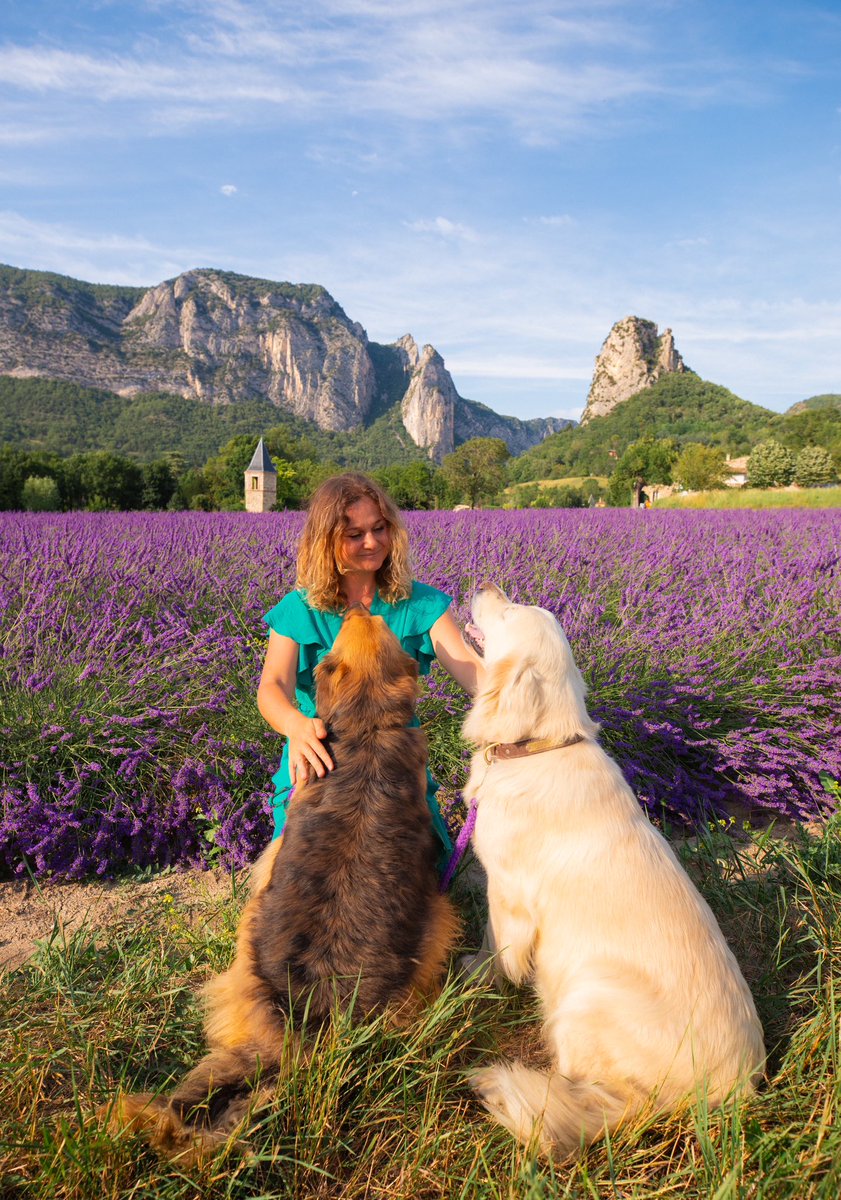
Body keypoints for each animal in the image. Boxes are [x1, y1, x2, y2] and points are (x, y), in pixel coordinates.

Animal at [463, 585, 763, 1156]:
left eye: (509, 613)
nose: (487, 588)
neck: (540, 747)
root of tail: (726, 1091)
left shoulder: (505, 890)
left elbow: (496, 946)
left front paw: (473, 977)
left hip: (589, 993)